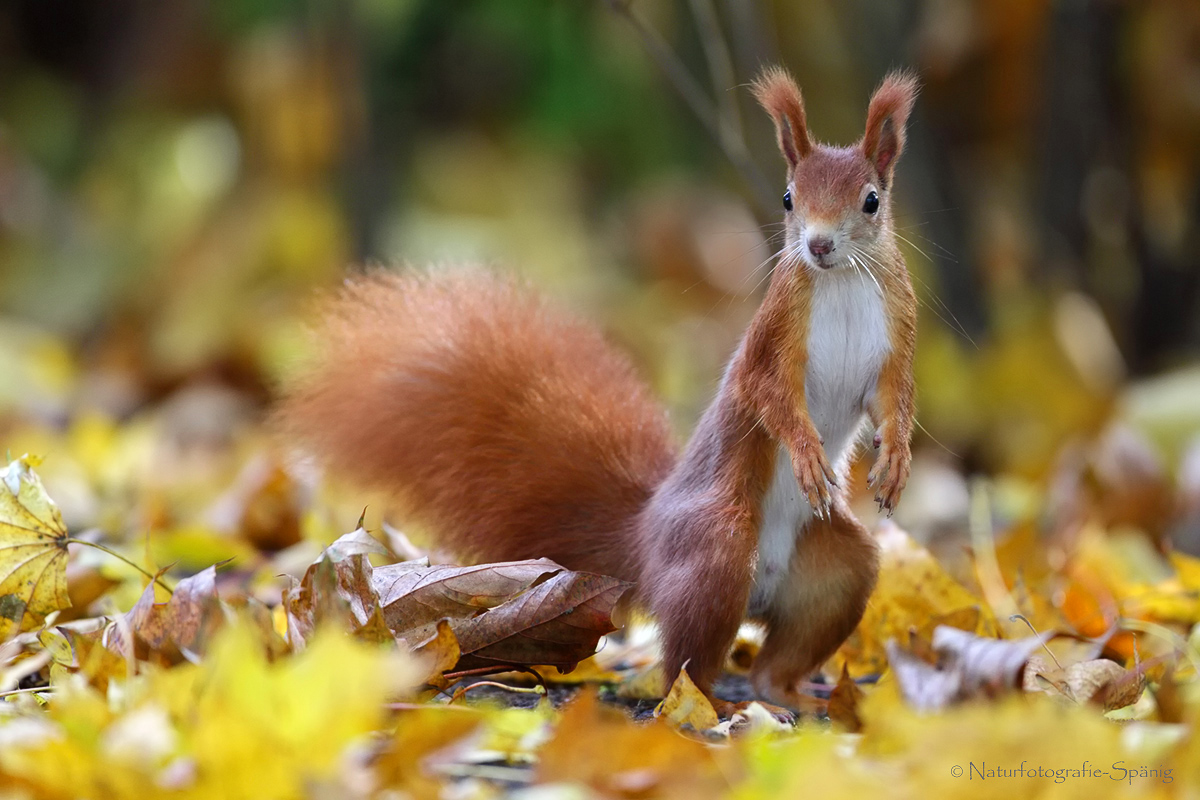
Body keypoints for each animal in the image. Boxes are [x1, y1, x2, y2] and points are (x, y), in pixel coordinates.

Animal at [277, 66, 918, 716]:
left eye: (872, 200)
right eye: (788, 198)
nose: (818, 245)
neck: (840, 284)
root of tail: (646, 540)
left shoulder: (895, 338)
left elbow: (892, 401)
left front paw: (894, 460)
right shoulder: (769, 345)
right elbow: (773, 399)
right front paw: (808, 455)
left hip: (836, 571)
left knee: (780, 651)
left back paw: (792, 695)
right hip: (716, 547)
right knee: (684, 665)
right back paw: (718, 706)